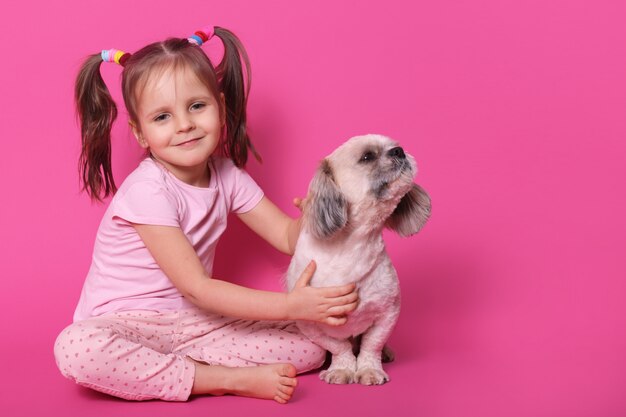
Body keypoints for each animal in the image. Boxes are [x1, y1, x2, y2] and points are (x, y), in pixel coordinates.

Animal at [282, 133, 428, 384]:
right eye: (367, 157)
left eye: (395, 146)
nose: (398, 151)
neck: (351, 248)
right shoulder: (310, 325)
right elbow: (339, 347)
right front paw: (342, 369)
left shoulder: (388, 313)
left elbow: (372, 345)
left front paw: (369, 369)